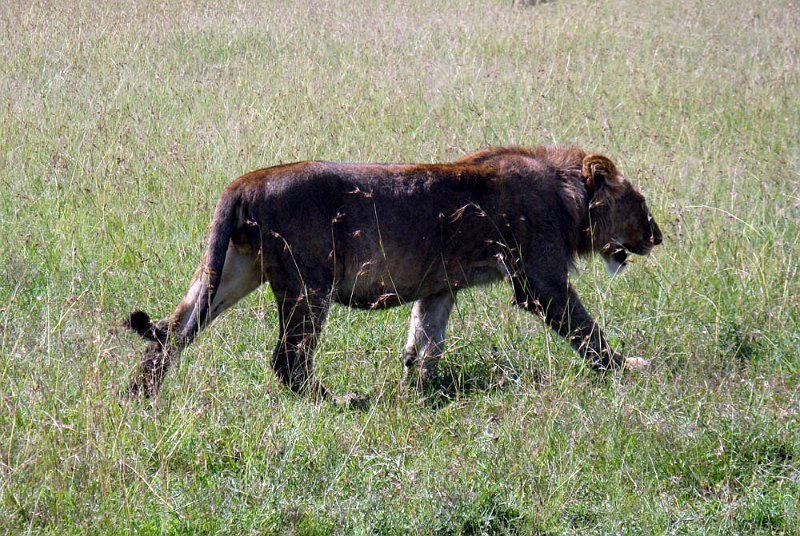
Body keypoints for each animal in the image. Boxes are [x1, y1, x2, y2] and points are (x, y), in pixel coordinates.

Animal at [124, 145, 662, 404]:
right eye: (639, 203)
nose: (657, 237)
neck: (566, 192)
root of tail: (246, 182)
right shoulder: (539, 281)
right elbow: (587, 331)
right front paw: (626, 368)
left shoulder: (441, 285)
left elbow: (425, 338)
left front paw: (419, 389)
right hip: (307, 285)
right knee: (287, 360)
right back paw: (339, 401)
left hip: (231, 272)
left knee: (171, 332)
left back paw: (137, 398)